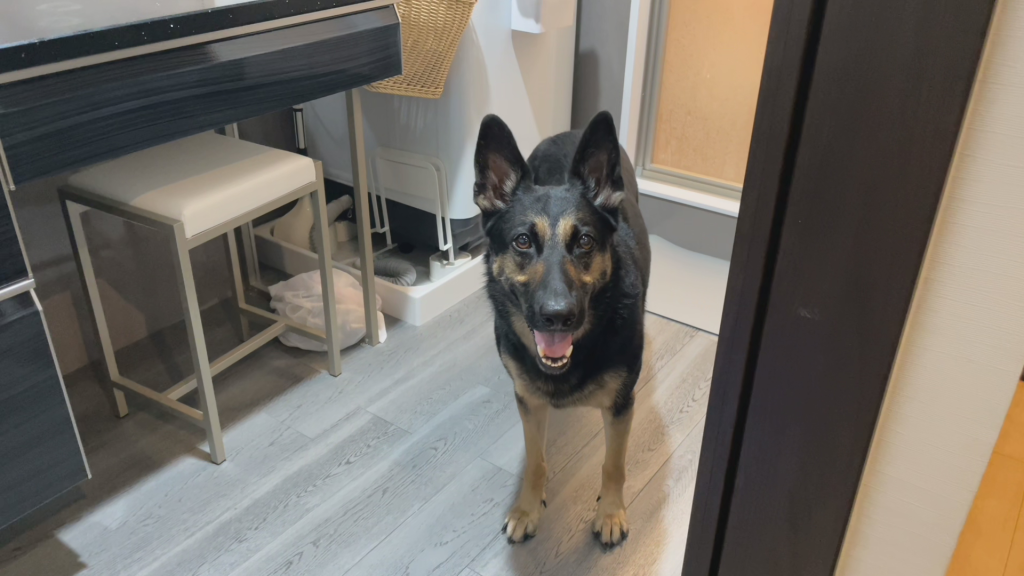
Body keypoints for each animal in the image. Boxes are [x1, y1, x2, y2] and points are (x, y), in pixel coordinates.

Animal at [473, 111, 651, 549]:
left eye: (585, 241)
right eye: (522, 241)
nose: (558, 316)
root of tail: (571, 130)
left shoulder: (621, 406)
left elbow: (614, 464)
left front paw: (610, 512)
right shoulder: (529, 401)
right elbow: (535, 460)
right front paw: (527, 508)